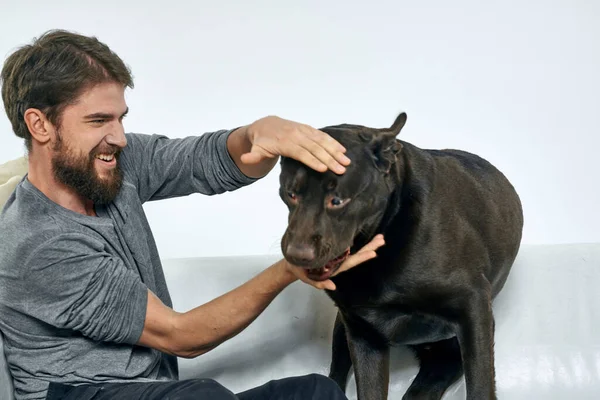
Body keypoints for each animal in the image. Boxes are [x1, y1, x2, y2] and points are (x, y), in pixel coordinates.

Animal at [278, 112, 524, 400]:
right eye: (290, 194)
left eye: (337, 200)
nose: (297, 256)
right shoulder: (363, 337)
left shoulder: (473, 311)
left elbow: (481, 386)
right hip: (343, 329)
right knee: (335, 376)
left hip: (445, 359)